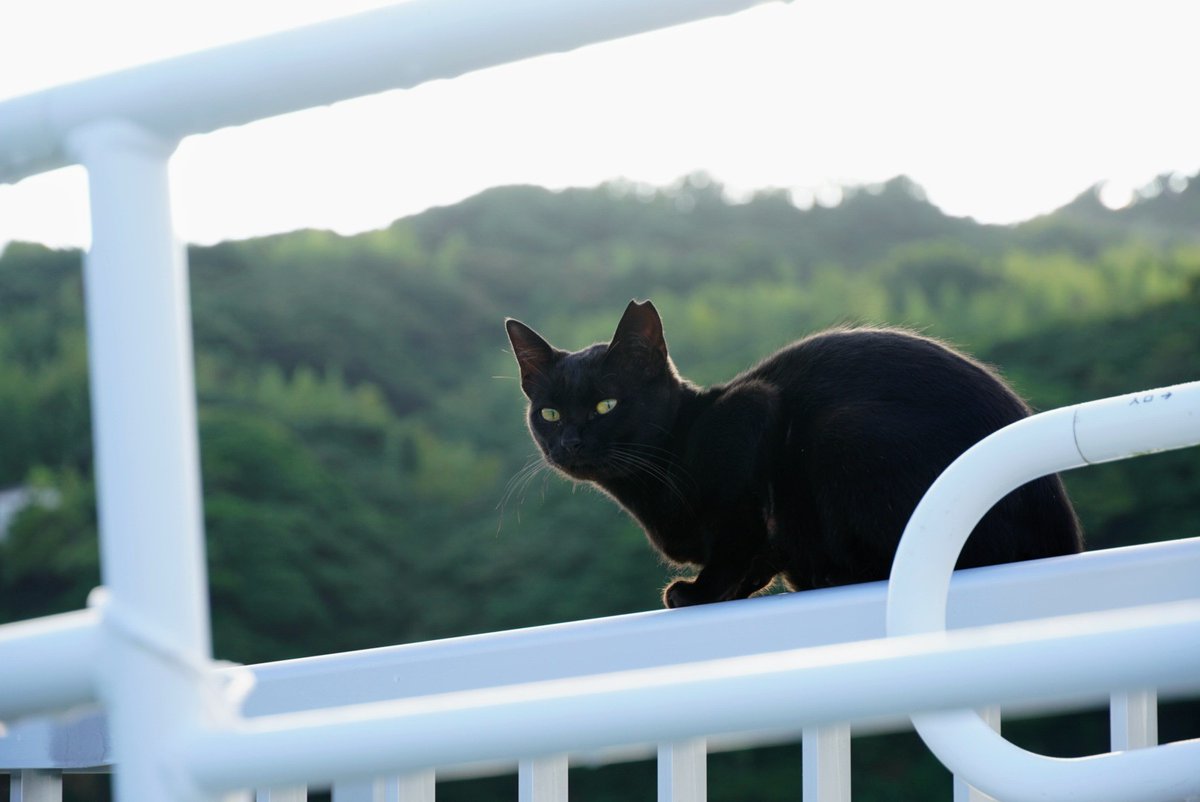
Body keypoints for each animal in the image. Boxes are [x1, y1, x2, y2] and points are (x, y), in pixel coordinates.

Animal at [501, 300, 1084, 607]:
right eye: (549, 414)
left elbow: (737, 538)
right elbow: (757, 553)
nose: (570, 443)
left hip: (842, 432)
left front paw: (701, 591)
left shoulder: (754, 416)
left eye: (606, 405)